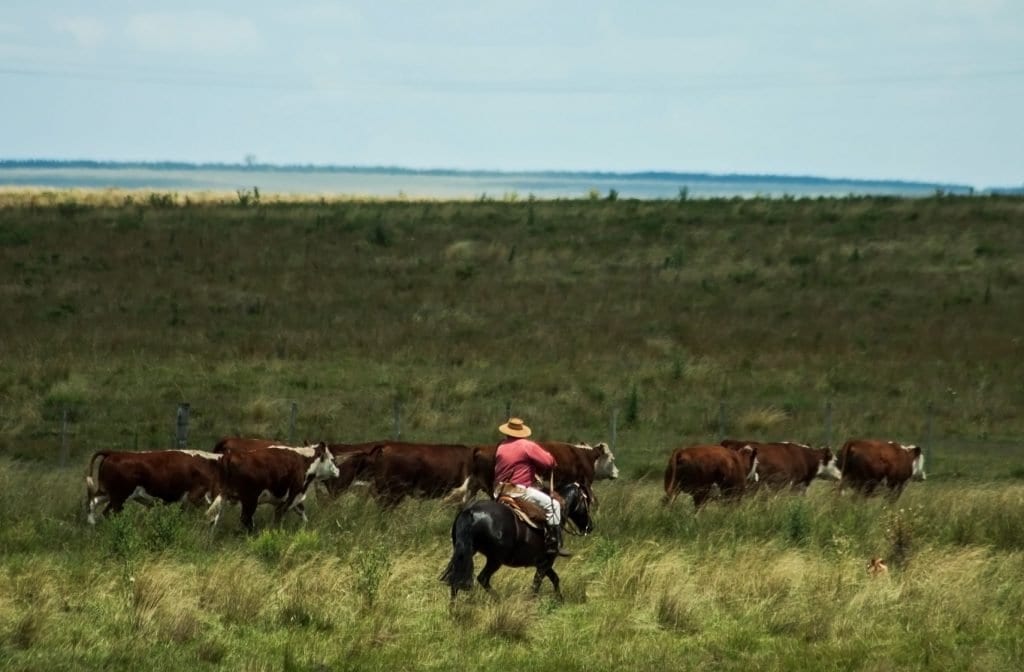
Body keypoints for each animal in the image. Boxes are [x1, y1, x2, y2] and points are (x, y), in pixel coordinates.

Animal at [83, 450, 222, 524]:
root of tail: (114, 453)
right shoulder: (196, 496)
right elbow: (208, 517)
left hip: (107, 493)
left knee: (92, 503)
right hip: (119, 497)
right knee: (107, 512)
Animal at [209, 444, 342, 532]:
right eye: (332, 459)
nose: (338, 471)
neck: (304, 460)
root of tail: (230, 456)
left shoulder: (292, 498)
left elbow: (302, 513)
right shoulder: (292, 496)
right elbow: (280, 516)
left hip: (222, 496)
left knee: (213, 519)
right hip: (250, 500)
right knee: (246, 519)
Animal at [440, 479, 593, 602]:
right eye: (586, 502)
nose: (590, 527)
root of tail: (471, 511)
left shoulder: (541, 562)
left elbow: (554, 579)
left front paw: (560, 600)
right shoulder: (546, 562)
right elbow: (537, 585)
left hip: (465, 552)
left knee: (455, 579)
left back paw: (453, 609)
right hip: (495, 560)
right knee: (482, 578)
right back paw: (499, 600)